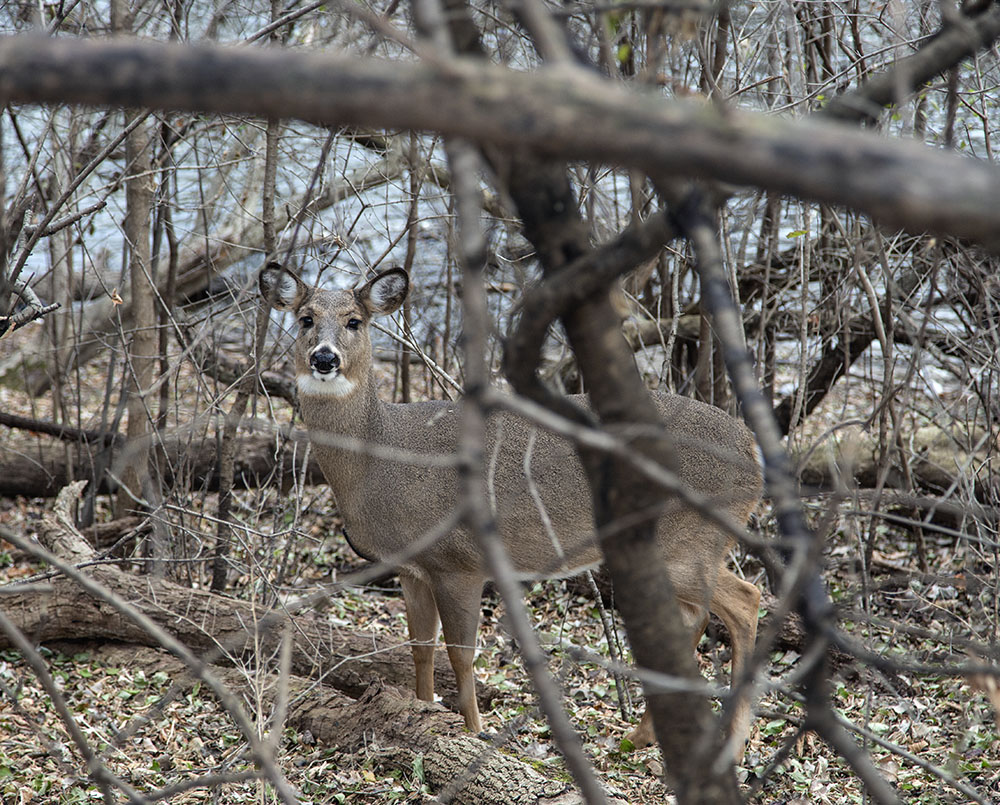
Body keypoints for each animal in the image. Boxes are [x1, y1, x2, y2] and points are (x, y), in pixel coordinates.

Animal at [260, 262, 764, 760]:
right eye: (305, 319)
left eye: (354, 321)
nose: (324, 358)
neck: (380, 462)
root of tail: (752, 451)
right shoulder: (411, 567)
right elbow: (420, 647)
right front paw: (421, 712)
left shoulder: (458, 563)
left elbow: (462, 654)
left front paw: (472, 729)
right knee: (697, 616)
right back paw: (643, 737)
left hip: (690, 541)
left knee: (745, 600)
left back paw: (731, 744)